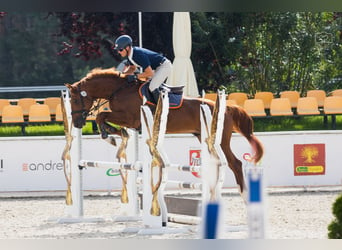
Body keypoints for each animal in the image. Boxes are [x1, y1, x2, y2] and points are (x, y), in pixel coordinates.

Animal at [65, 67, 264, 198]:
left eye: (74, 99)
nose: (77, 123)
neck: (118, 90)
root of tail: (227, 108)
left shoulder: (131, 119)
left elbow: (102, 115)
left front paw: (110, 135)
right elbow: (105, 118)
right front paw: (115, 133)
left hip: (220, 140)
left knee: (235, 163)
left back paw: (243, 193)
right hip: (205, 138)